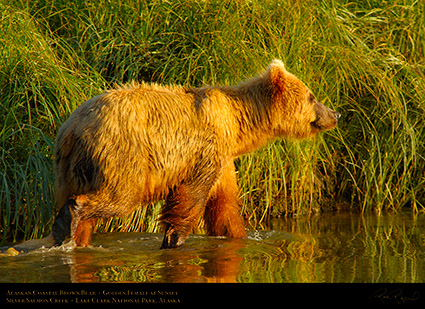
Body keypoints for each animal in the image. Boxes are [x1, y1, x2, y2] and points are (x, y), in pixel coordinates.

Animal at [21, 58, 340, 250]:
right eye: (311, 96)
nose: (335, 113)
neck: (237, 124)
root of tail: (72, 128)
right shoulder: (204, 150)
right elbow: (189, 198)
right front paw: (174, 239)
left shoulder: (224, 160)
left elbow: (224, 207)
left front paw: (238, 234)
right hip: (121, 155)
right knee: (117, 197)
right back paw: (72, 217)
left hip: (68, 167)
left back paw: (68, 233)